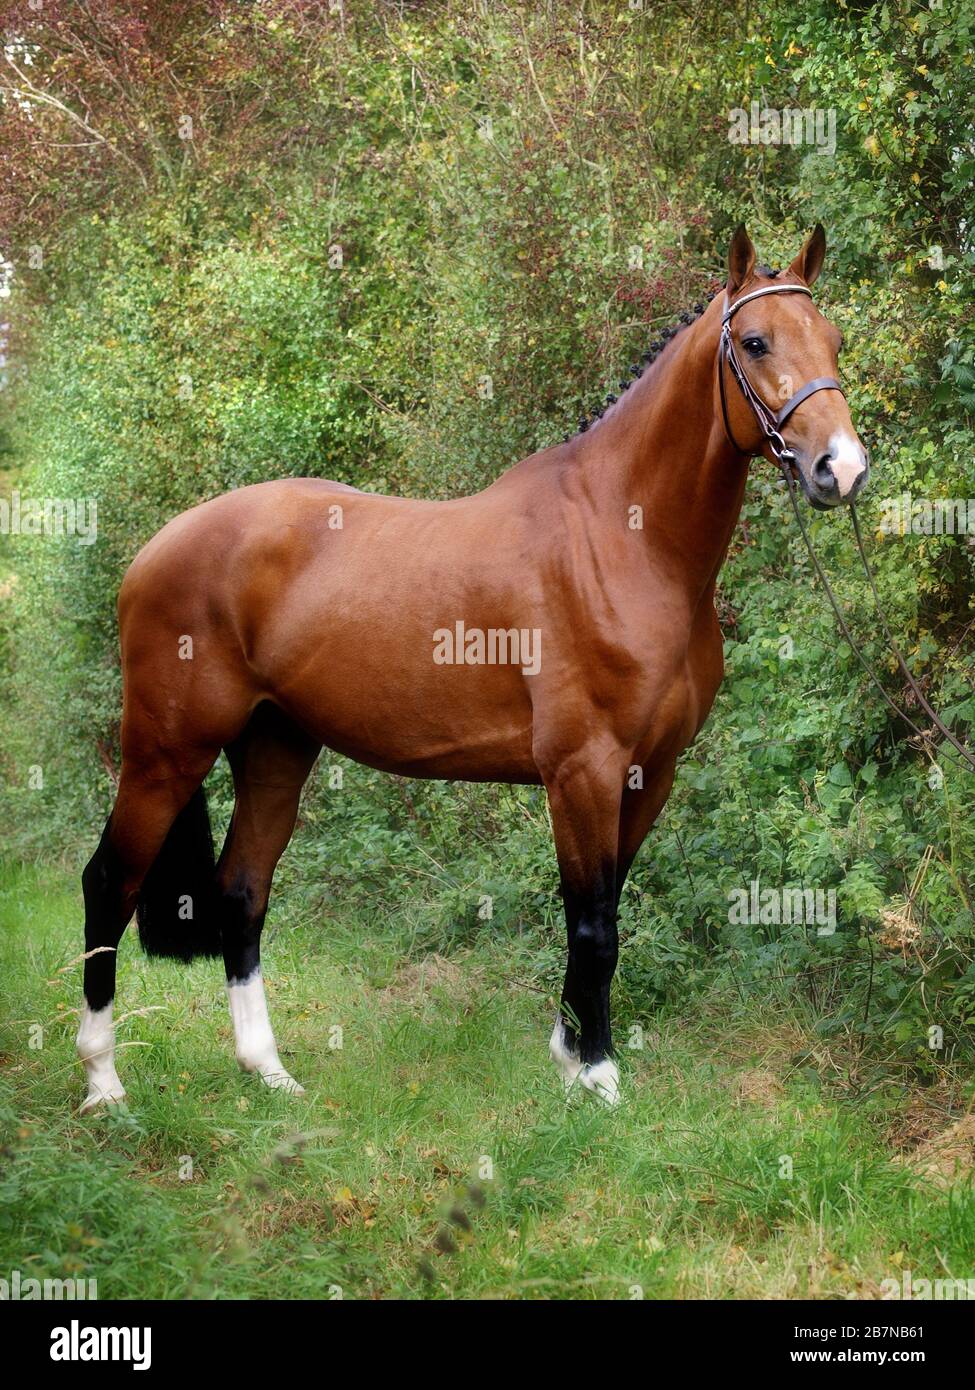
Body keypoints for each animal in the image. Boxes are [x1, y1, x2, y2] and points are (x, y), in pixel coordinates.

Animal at [77, 230, 867, 1117]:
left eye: (833, 340)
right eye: (755, 342)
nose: (840, 468)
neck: (622, 537)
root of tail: (154, 549)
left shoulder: (648, 776)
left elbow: (602, 914)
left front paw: (569, 1055)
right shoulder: (582, 772)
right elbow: (593, 925)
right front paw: (598, 1077)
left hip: (275, 747)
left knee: (242, 892)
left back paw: (268, 1071)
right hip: (165, 751)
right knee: (108, 884)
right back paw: (104, 1084)